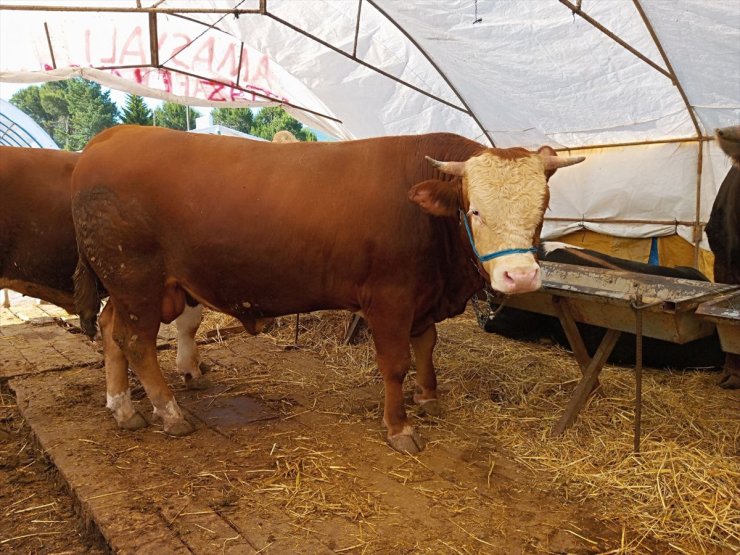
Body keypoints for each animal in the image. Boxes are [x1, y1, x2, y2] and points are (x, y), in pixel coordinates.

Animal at [72, 127, 588, 456]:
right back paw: (170, 414)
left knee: (111, 330)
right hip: (136, 281)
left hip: (127, 288)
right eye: (475, 209)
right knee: (136, 342)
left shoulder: (421, 299)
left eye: (543, 207)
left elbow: (427, 346)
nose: (520, 277)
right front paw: (399, 426)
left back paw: (123, 408)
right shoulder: (390, 299)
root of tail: (110, 137)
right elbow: (395, 363)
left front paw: (429, 397)